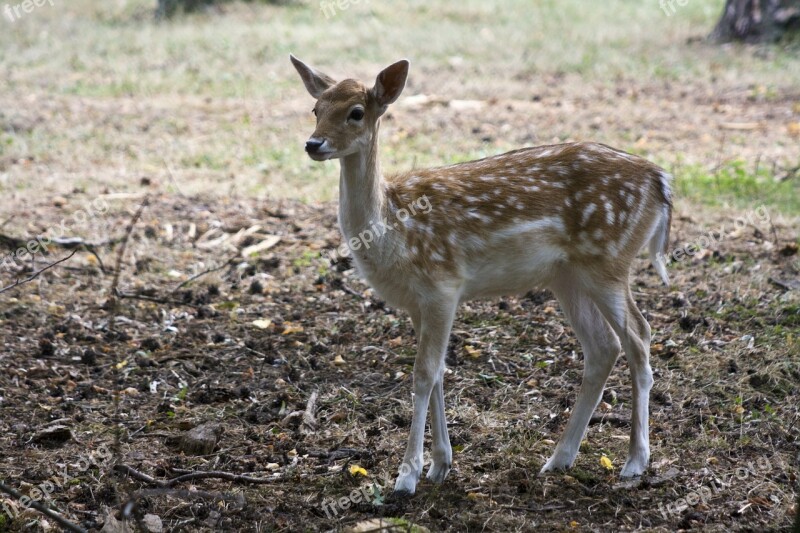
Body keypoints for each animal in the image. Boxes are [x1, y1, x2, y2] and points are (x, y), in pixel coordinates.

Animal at [290, 55, 672, 494]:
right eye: (315, 109)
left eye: (356, 112)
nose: (313, 143)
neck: (393, 230)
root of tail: (661, 181)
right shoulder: (417, 303)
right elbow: (439, 372)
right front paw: (440, 465)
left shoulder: (442, 285)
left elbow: (424, 374)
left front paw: (407, 476)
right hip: (567, 276)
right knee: (603, 347)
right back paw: (559, 459)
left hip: (608, 260)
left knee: (639, 336)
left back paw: (635, 461)